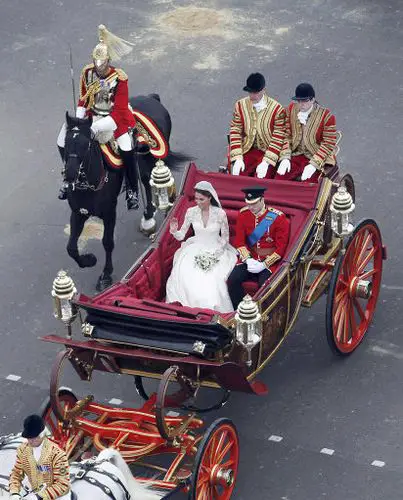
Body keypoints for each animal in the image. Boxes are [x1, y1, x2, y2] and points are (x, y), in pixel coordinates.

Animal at [62, 94, 181, 292]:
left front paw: (105, 275)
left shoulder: (109, 212)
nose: (70, 174)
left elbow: (107, 242)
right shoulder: (78, 212)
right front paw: (88, 260)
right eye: (66, 143)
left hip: (151, 162)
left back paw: (149, 218)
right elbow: (71, 247)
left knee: (148, 183)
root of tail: (151, 98)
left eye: (86, 144)